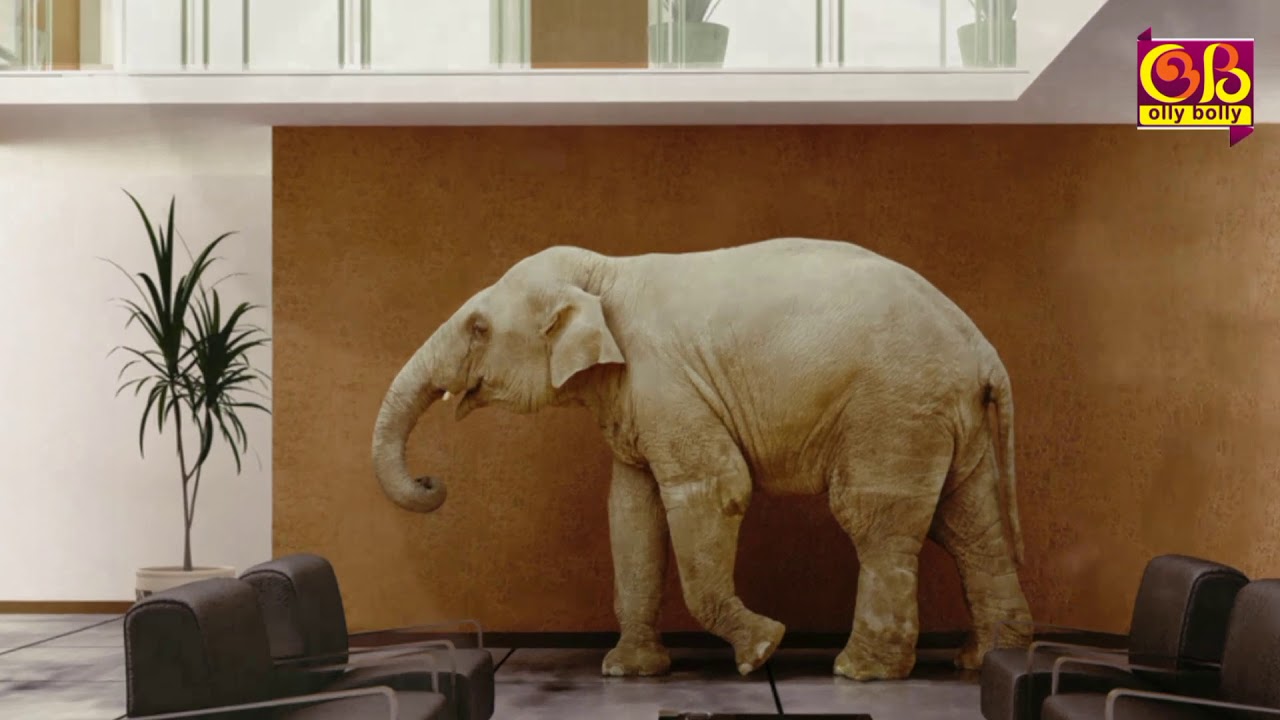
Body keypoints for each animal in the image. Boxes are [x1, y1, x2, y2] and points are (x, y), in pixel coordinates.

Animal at [371, 237, 1033, 681]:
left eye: (479, 328)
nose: (432, 481)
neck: (605, 272)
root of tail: (984, 350)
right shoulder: (635, 399)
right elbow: (630, 514)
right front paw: (628, 672)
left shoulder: (667, 381)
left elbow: (715, 488)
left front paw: (762, 650)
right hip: (948, 417)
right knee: (968, 524)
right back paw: (989, 658)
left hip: (895, 409)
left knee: (876, 521)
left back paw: (860, 673)